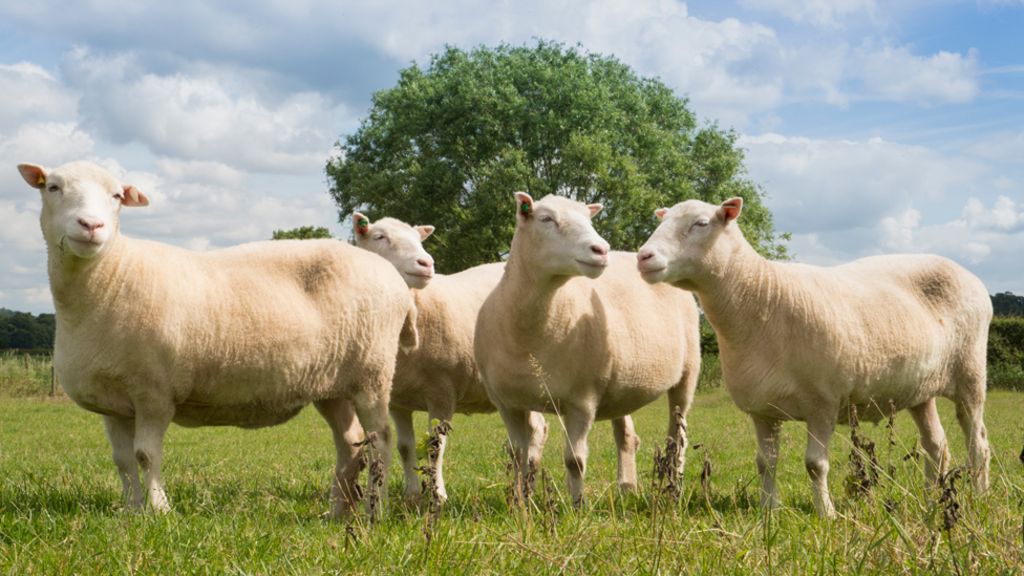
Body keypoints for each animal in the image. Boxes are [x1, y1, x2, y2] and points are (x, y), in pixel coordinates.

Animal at [16, 160, 419, 518]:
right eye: (53, 187)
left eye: (116, 196)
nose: (91, 225)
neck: (111, 275)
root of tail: (395, 281)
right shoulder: (114, 403)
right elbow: (123, 461)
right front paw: (130, 512)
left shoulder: (153, 392)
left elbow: (146, 455)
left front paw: (159, 511)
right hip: (333, 385)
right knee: (350, 443)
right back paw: (338, 511)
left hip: (373, 373)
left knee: (381, 439)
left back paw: (375, 510)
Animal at [352, 213, 646, 501]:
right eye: (379, 237)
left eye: (418, 239)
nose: (425, 263)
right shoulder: (398, 401)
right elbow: (405, 447)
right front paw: (412, 495)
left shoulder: (442, 392)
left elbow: (436, 447)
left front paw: (438, 495)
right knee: (541, 429)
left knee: (612, 431)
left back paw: (621, 486)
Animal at [474, 193, 701, 505]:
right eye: (546, 218)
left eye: (588, 218)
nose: (601, 250)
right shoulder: (507, 403)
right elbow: (519, 455)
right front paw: (520, 504)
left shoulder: (581, 400)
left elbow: (574, 460)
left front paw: (577, 506)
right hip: (623, 384)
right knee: (627, 436)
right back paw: (627, 488)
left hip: (688, 373)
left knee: (678, 439)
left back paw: (673, 489)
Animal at [637, 197, 992, 517]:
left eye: (701, 223)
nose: (643, 256)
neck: (760, 300)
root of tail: (968, 275)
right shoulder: (762, 409)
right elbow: (765, 463)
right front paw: (769, 511)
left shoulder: (823, 403)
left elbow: (815, 465)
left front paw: (826, 513)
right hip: (920, 390)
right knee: (937, 445)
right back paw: (931, 500)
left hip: (971, 376)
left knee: (978, 442)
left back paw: (979, 496)